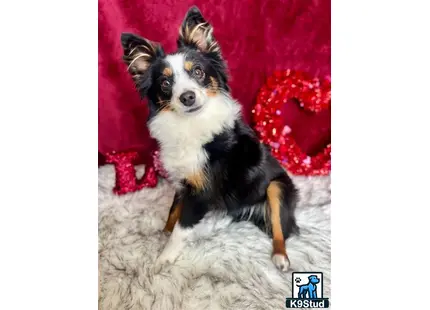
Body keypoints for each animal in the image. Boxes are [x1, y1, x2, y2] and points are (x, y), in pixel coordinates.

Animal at [119, 5, 298, 272]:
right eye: (165, 83)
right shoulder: (183, 181)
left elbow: (181, 227)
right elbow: (173, 211)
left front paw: (164, 257)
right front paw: (163, 233)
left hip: (277, 187)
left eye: (198, 71)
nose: (188, 97)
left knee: (280, 229)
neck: (191, 123)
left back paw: (280, 256)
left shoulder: (201, 191)